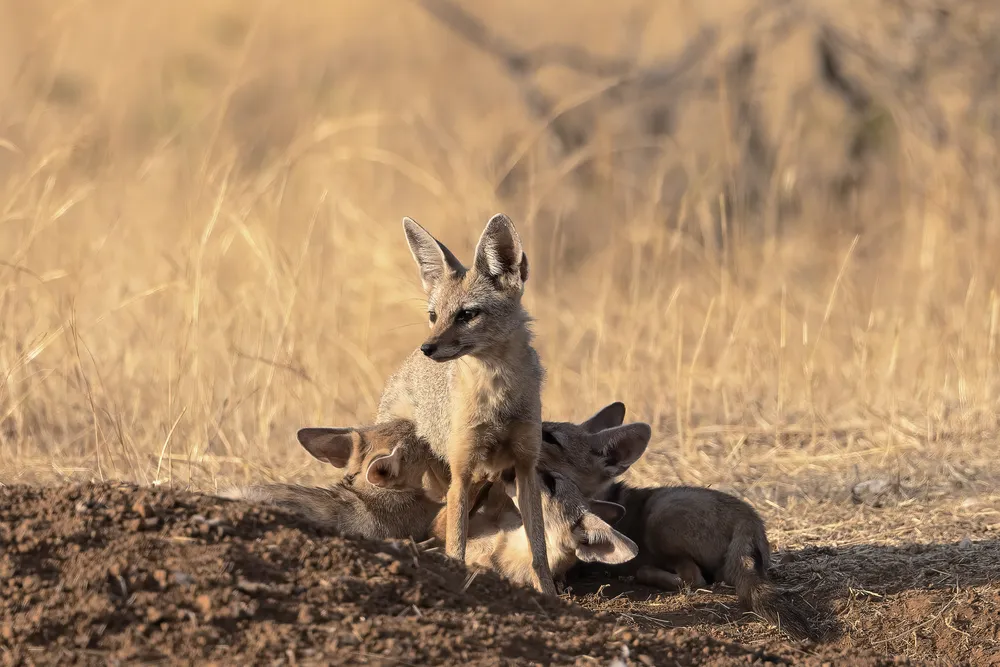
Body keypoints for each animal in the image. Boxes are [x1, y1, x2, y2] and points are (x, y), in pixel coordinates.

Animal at [376, 213, 555, 594]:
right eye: (434, 315)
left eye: (467, 314)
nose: (428, 348)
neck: (497, 396)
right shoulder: (462, 470)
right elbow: (457, 545)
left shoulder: (525, 466)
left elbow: (538, 548)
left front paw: (550, 593)